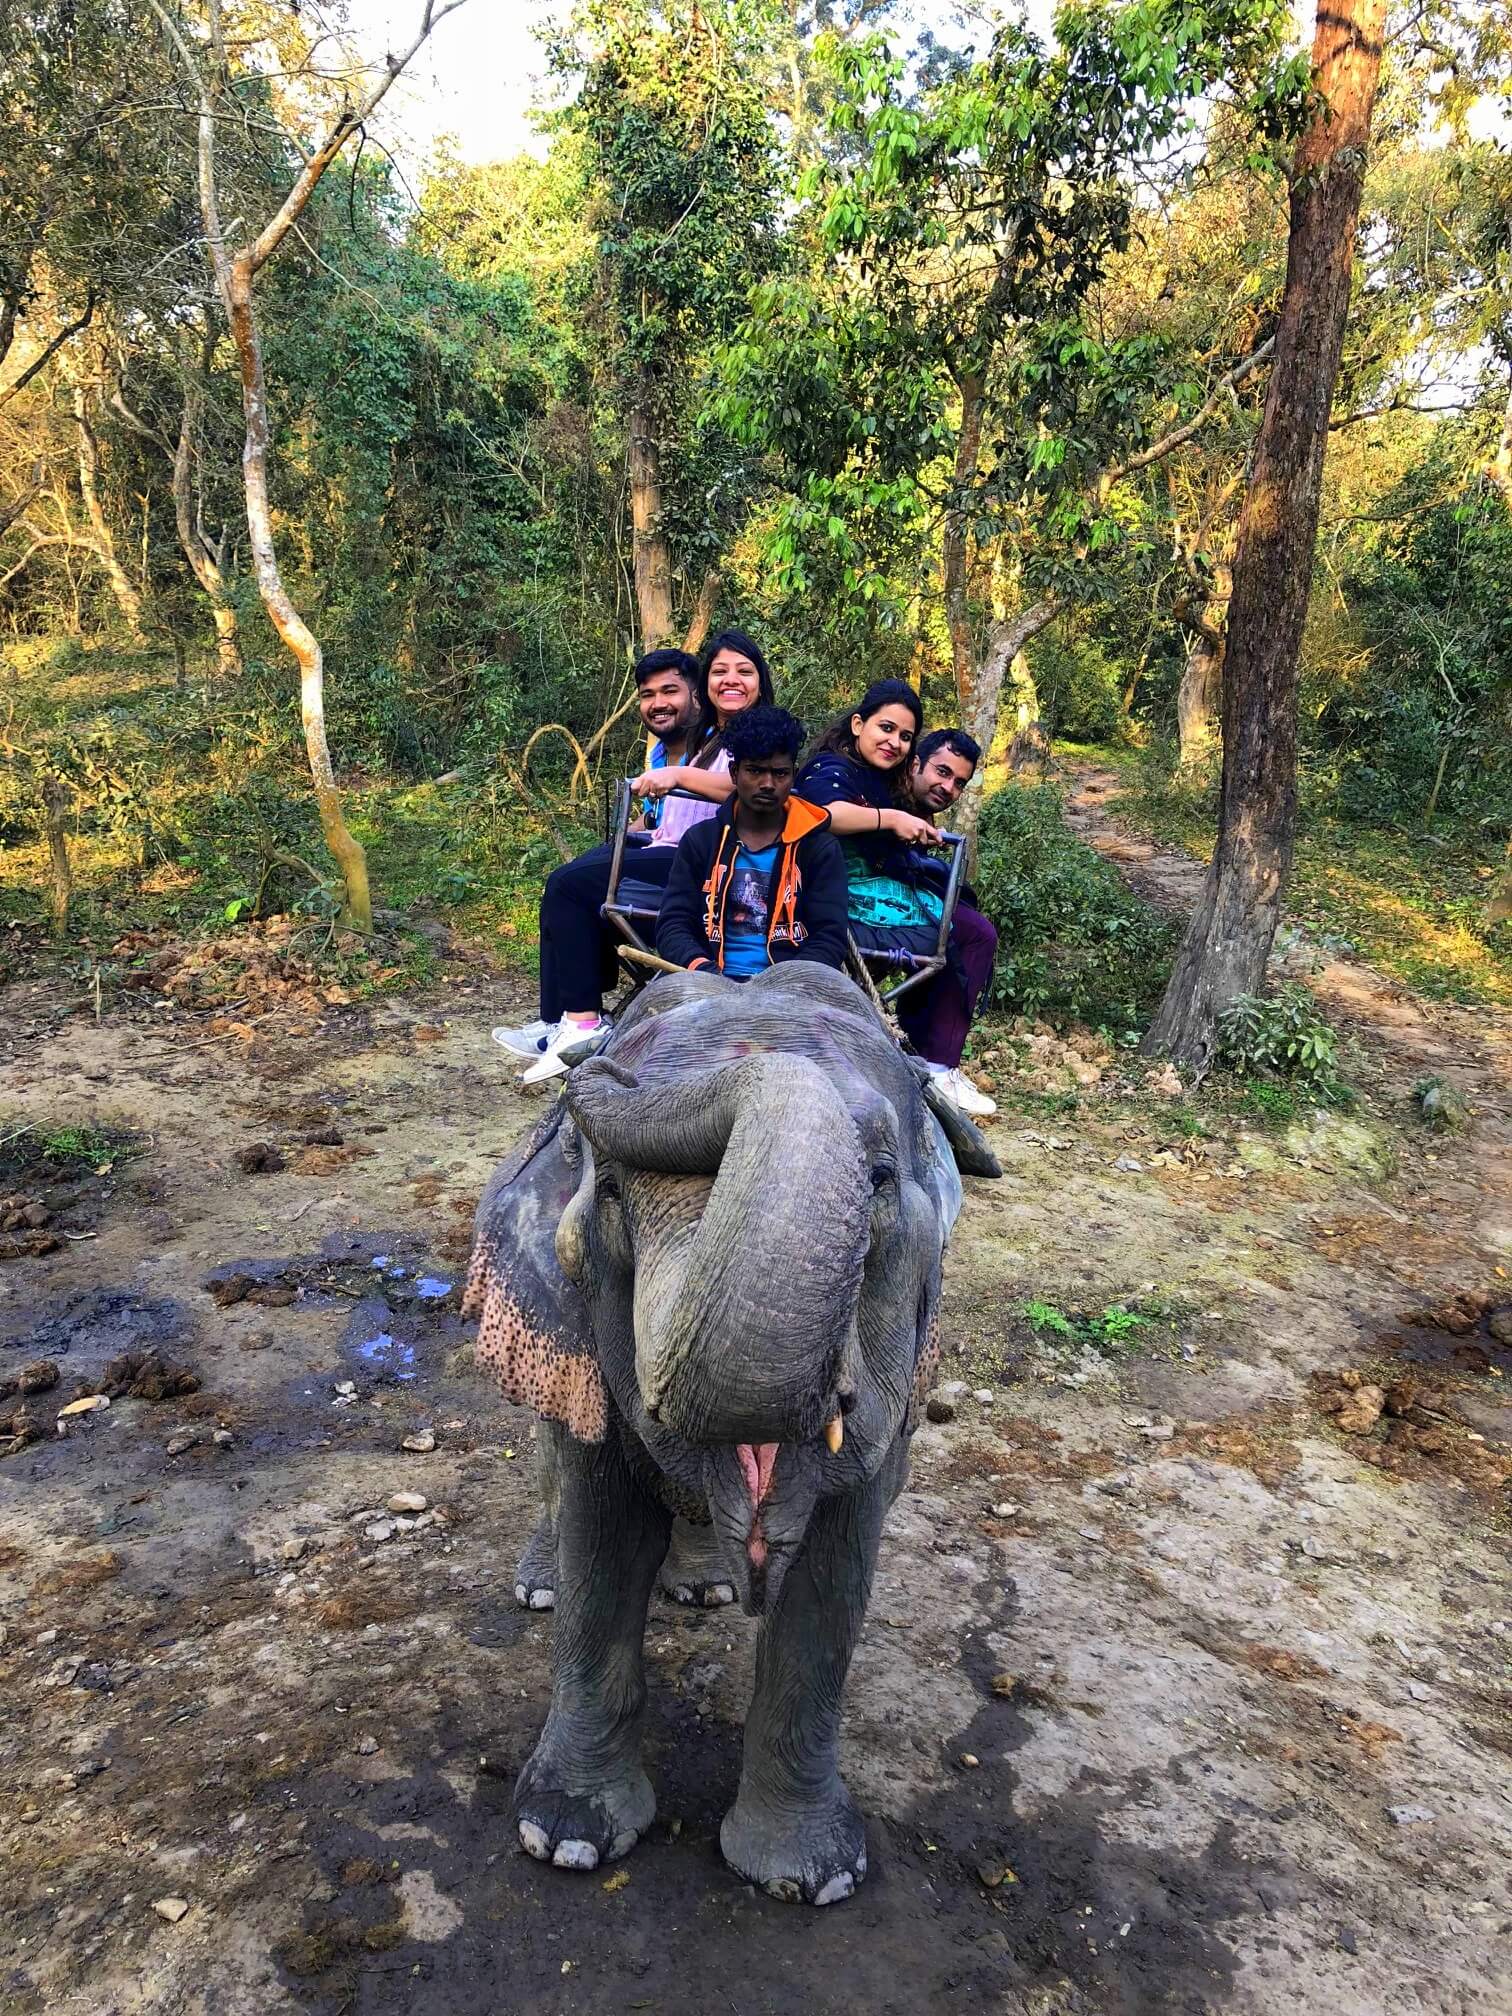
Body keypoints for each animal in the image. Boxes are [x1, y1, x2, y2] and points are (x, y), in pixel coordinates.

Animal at [467, 959, 999, 1903]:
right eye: (612, 1195)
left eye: (878, 1178)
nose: (591, 1063)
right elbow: (601, 1544)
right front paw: (563, 1841)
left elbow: (833, 1580)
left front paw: (813, 1881)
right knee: (552, 1465)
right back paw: (543, 1585)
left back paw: (706, 1587)